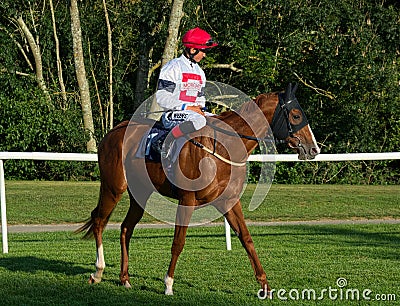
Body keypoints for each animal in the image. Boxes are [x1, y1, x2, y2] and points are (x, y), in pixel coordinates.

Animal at [77, 82, 318, 296]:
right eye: (296, 116)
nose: (313, 149)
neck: (221, 148)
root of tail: (112, 132)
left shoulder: (229, 201)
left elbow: (247, 239)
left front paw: (265, 286)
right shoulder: (187, 199)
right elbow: (178, 242)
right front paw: (168, 284)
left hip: (140, 194)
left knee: (126, 228)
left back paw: (125, 278)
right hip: (113, 187)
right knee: (99, 221)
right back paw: (98, 272)